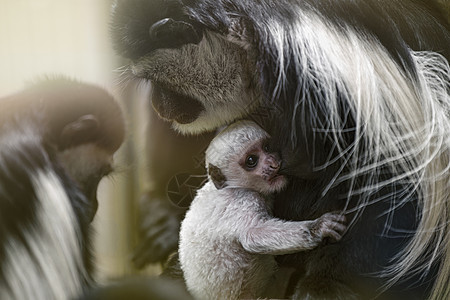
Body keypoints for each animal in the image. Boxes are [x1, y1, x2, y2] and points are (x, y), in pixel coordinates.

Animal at [178, 120, 344, 298]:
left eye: (267, 147)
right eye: (252, 160)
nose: (274, 163)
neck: (230, 187)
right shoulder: (243, 200)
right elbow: (252, 235)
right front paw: (319, 227)